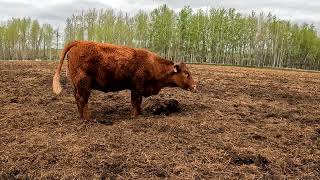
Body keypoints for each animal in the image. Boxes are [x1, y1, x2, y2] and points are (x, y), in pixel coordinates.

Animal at [53, 40, 195, 119]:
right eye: (186, 73)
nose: (194, 85)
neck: (153, 64)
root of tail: (78, 42)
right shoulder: (137, 88)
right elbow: (136, 103)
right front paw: (135, 116)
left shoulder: (136, 89)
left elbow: (137, 104)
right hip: (84, 85)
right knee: (82, 100)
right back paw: (88, 119)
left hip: (77, 85)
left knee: (78, 99)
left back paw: (81, 116)